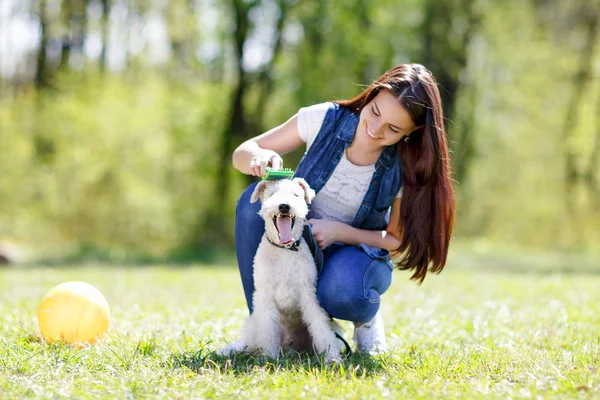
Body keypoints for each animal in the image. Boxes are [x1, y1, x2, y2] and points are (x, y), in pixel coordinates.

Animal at [223, 178, 342, 362]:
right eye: (272, 194)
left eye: (296, 195)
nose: (284, 206)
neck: (285, 250)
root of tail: (291, 346)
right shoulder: (265, 296)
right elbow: (268, 330)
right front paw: (269, 358)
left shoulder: (309, 294)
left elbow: (320, 327)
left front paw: (332, 358)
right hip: (253, 325)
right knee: (250, 343)